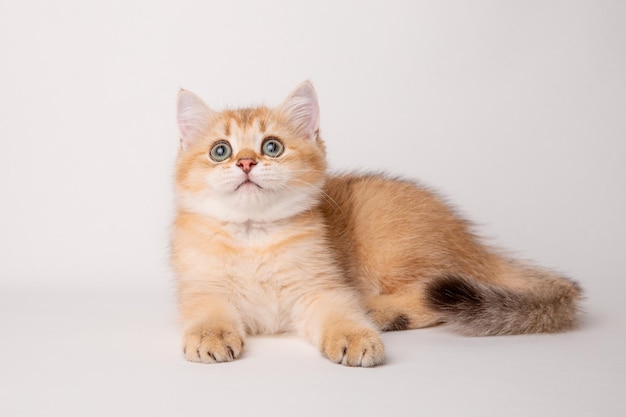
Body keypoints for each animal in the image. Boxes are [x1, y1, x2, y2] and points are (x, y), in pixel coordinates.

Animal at [172, 81, 580, 368]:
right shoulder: (201, 288)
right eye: (220, 151)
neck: (252, 235)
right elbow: (207, 312)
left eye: (272, 147)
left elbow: (339, 312)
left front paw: (355, 337)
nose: (245, 163)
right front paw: (209, 335)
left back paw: (378, 311)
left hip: (395, 249)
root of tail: (473, 242)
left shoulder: (322, 287)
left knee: (431, 294)